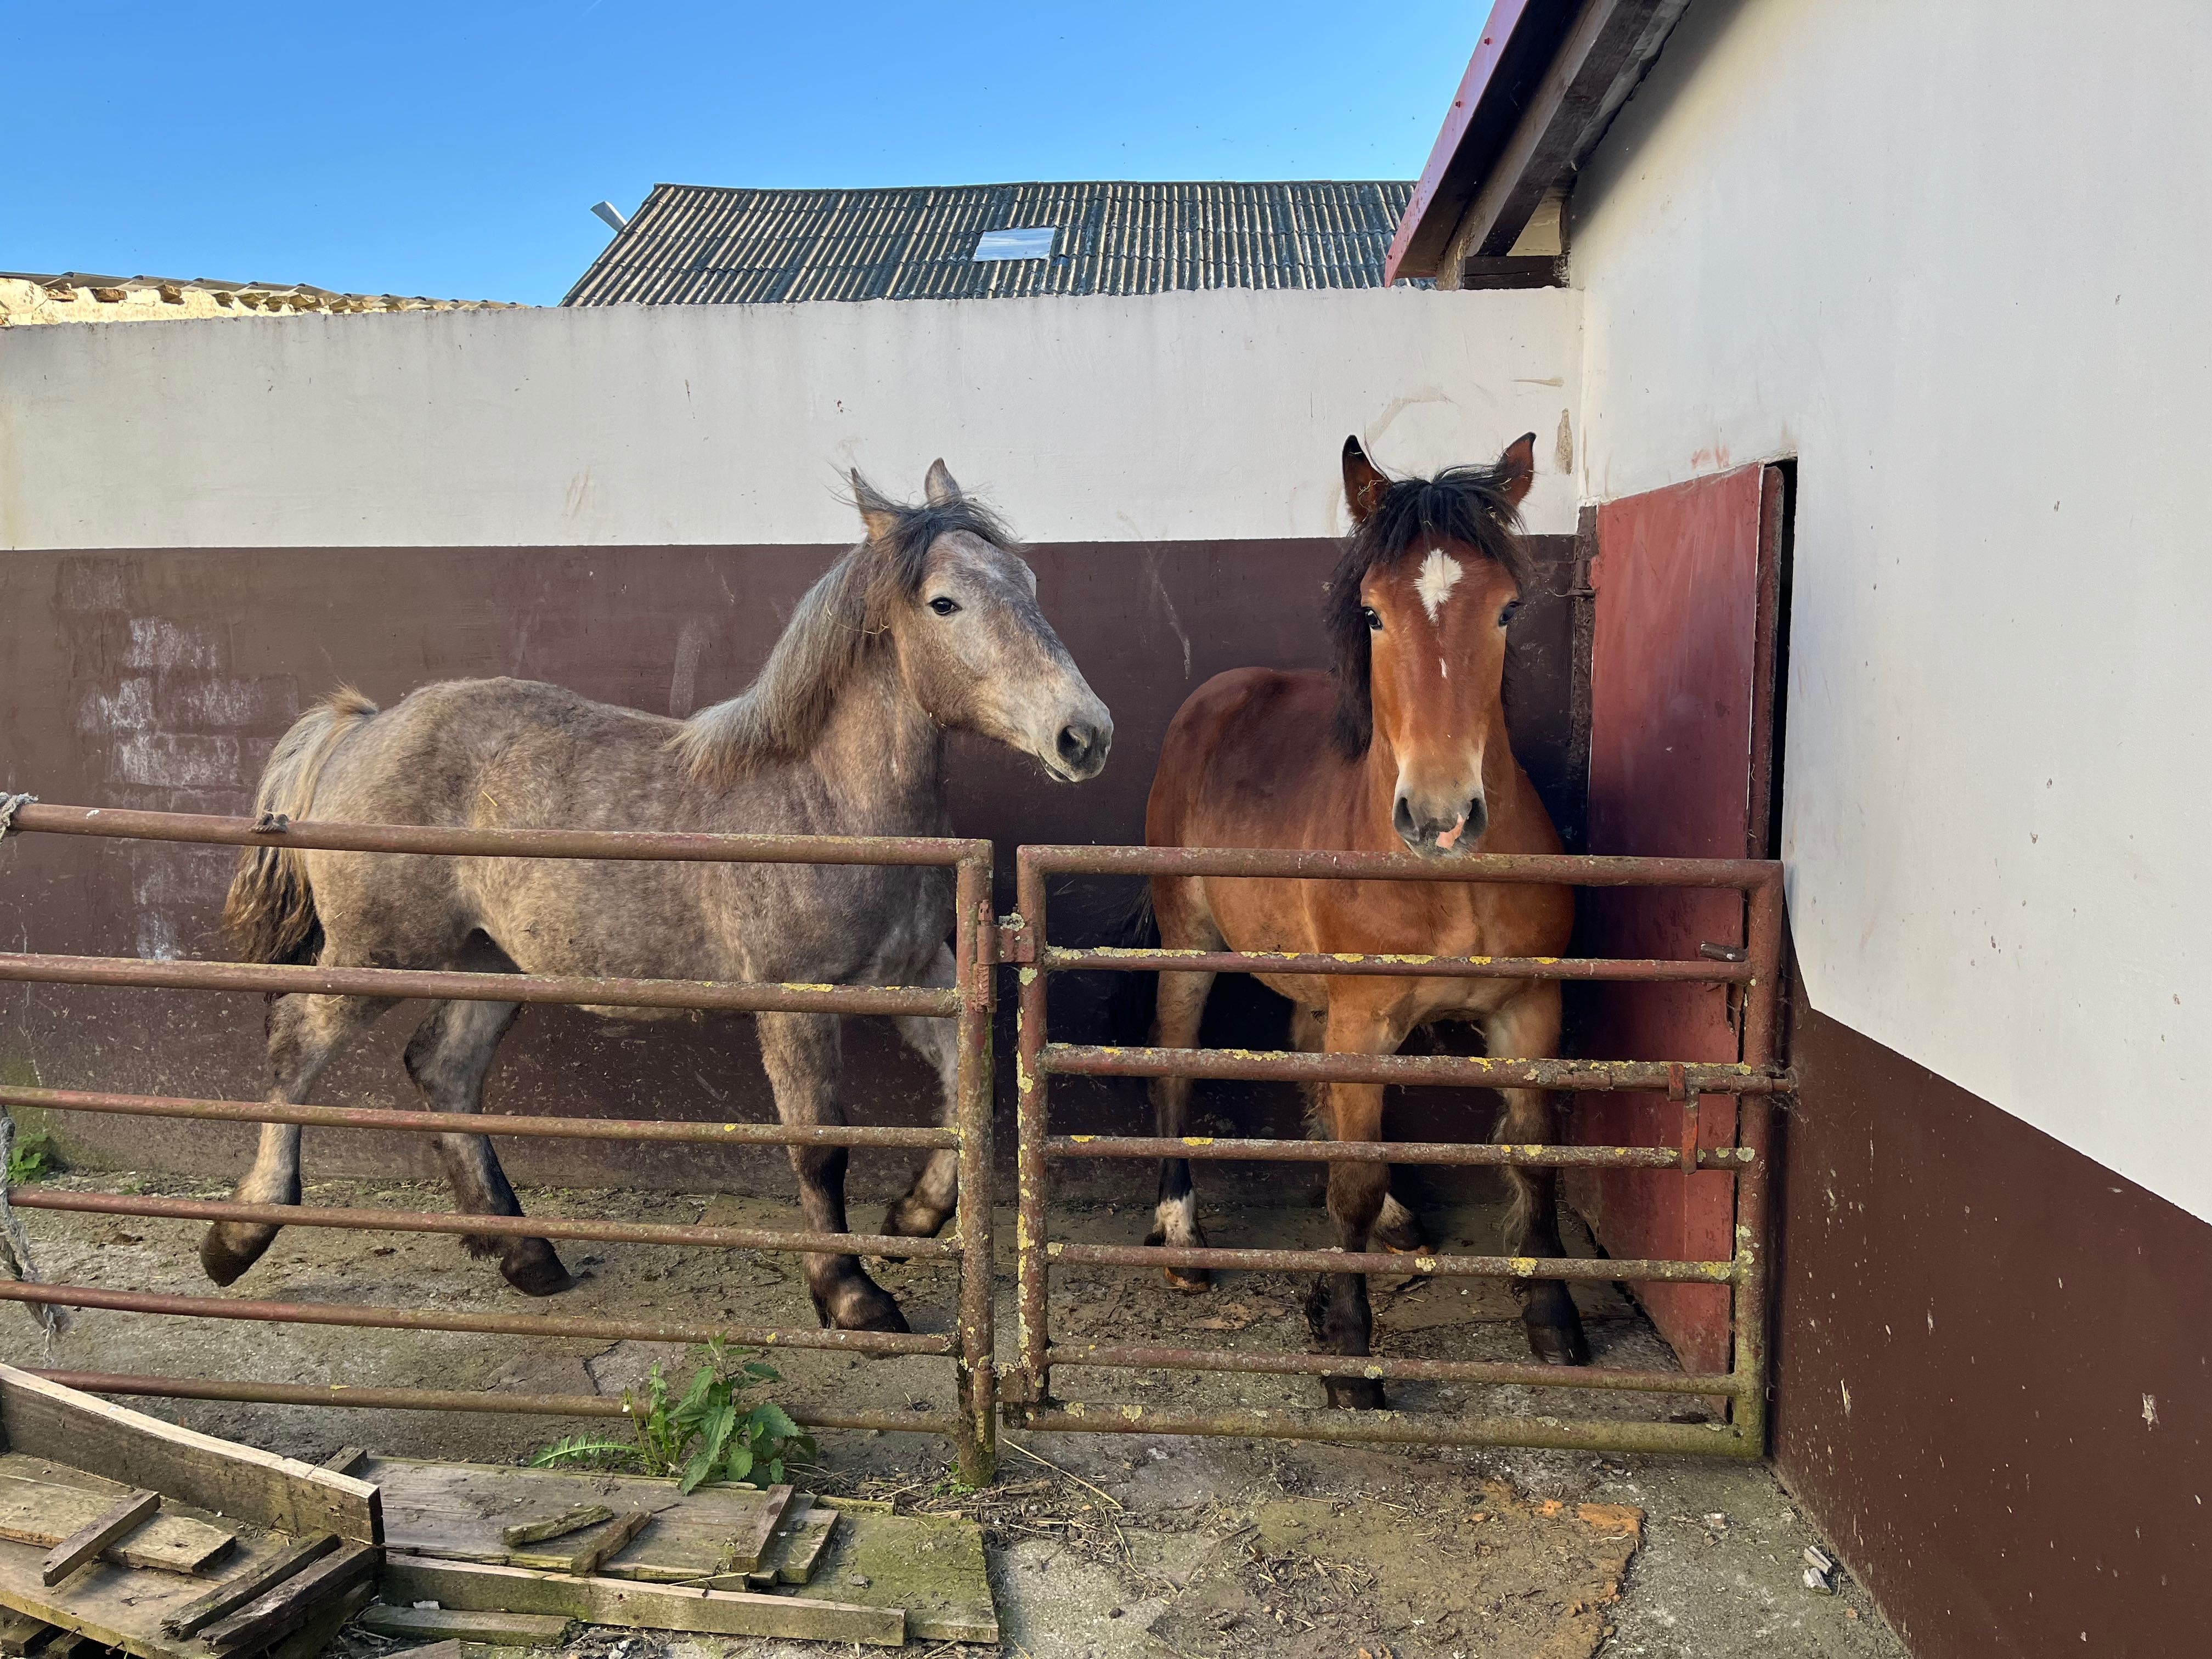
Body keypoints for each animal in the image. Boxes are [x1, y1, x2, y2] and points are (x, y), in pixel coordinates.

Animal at [208, 464, 1106, 1336]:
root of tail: (362, 726)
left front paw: (912, 1218)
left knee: (443, 1069)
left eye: (1028, 580)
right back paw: (240, 1235)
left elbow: (969, 1092)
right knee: (297, 1043)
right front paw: (851, 1296)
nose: (1084, 734)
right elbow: (819, 1148)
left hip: (490, 962)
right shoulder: (795, 1005)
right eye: (943, 602)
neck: (822, 801)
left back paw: (525, 1254)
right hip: (379, 952)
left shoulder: (914, 981)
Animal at [1141, 436, 1593, 1407]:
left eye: (1507, 609)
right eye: (1374, 615)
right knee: (1175, 1067)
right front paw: (1349, 1349)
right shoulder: (1365, 1020)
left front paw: (1553, 1318)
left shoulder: (1531, 1011)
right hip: (1188, 945)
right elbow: (1351, 1175)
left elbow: (1534, 1154)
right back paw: (1183, 1238)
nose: (1440, 816)